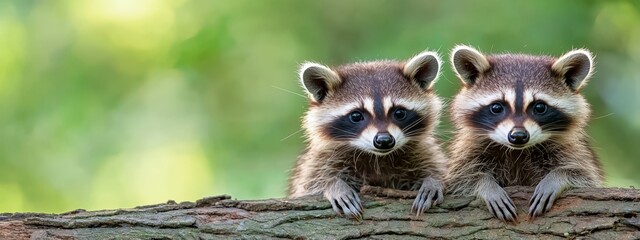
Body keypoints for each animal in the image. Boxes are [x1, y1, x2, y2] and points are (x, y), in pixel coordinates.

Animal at [288, 50, 448, 219]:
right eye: (356, 116)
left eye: (399, 113)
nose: (384, 140)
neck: (378, 158)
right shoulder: (321, 159)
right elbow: (311, 183)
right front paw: (334, 186)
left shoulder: (423, 152)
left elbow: (437, 169)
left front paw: (432, 181)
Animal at [444, 45, 604, 221]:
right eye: (497, 107)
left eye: (539, 107)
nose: (518, 136)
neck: (517, 151)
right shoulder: (469, 150)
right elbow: (460, 179)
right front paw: (486, 185)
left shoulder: (570, 149)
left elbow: (585, 176)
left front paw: (557, 178)